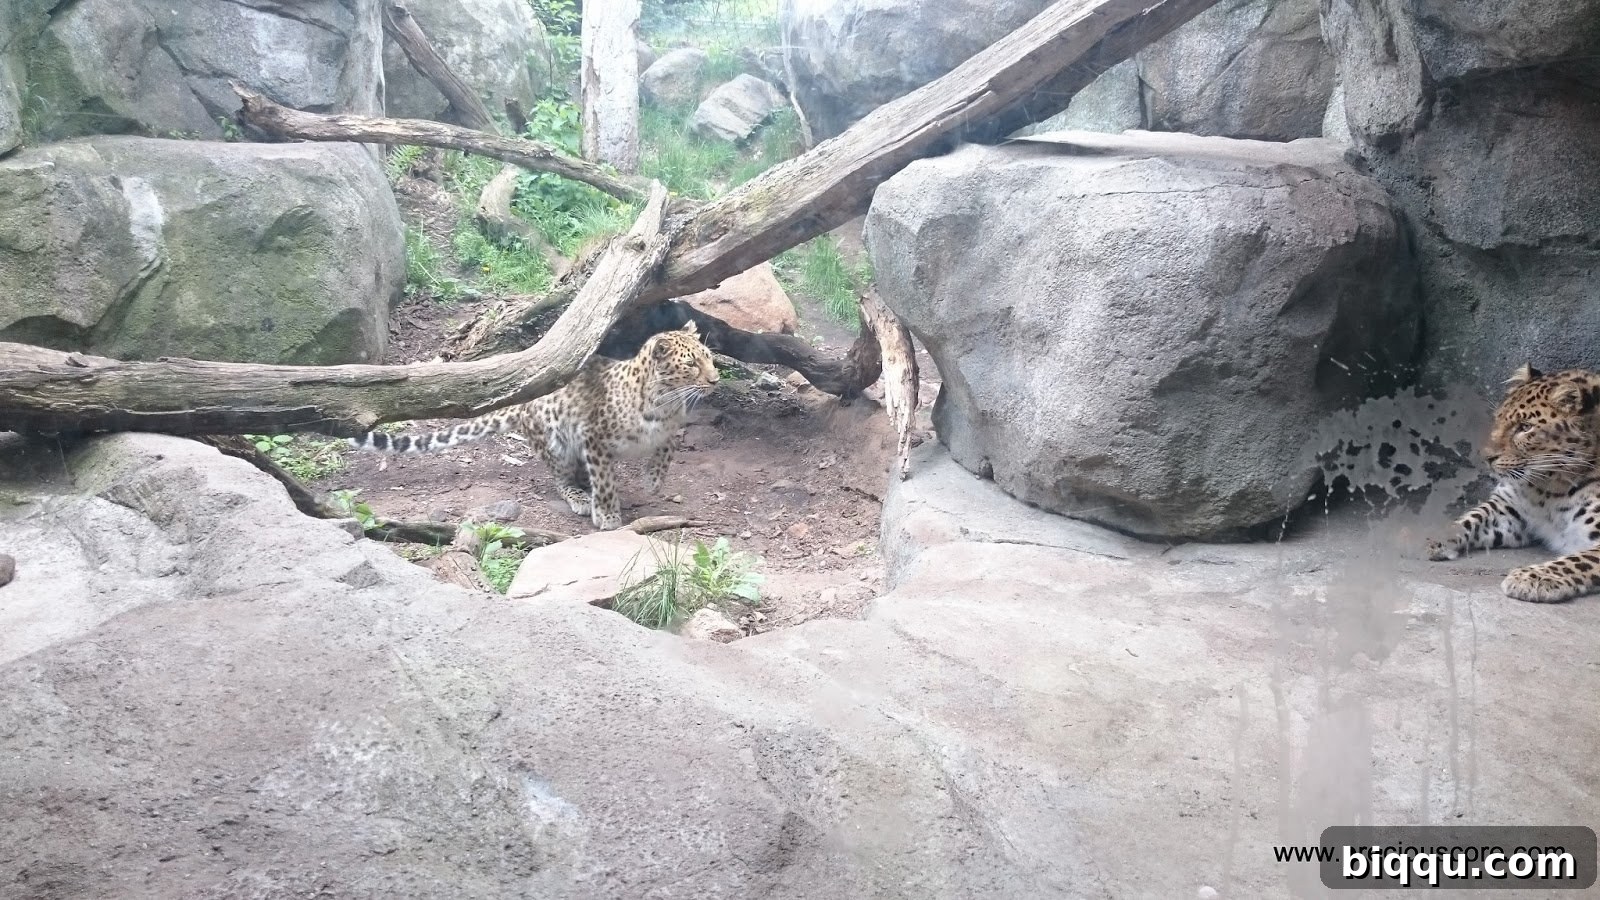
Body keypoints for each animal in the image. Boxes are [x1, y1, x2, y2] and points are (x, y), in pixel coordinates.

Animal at [350, 322, 718, 531]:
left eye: (710, 356)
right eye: (691, 364)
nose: (716, 379)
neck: (664, 402)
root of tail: (523, 405)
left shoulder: (672, 426)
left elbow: (668, 447)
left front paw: (653, 480)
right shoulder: (593, 437)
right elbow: (605, 482)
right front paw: (608, 515)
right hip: (558, 443)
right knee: (562, 479)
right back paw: (581, 497)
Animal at [1426, 363, 1600, 603]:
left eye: (1525, 427)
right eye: (1498, 418)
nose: (1486, 457)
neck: (1549, 488)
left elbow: (1575, 561)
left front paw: (1532, 578)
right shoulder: (1509, 509)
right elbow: (1472, 518)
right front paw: (1432, 536)